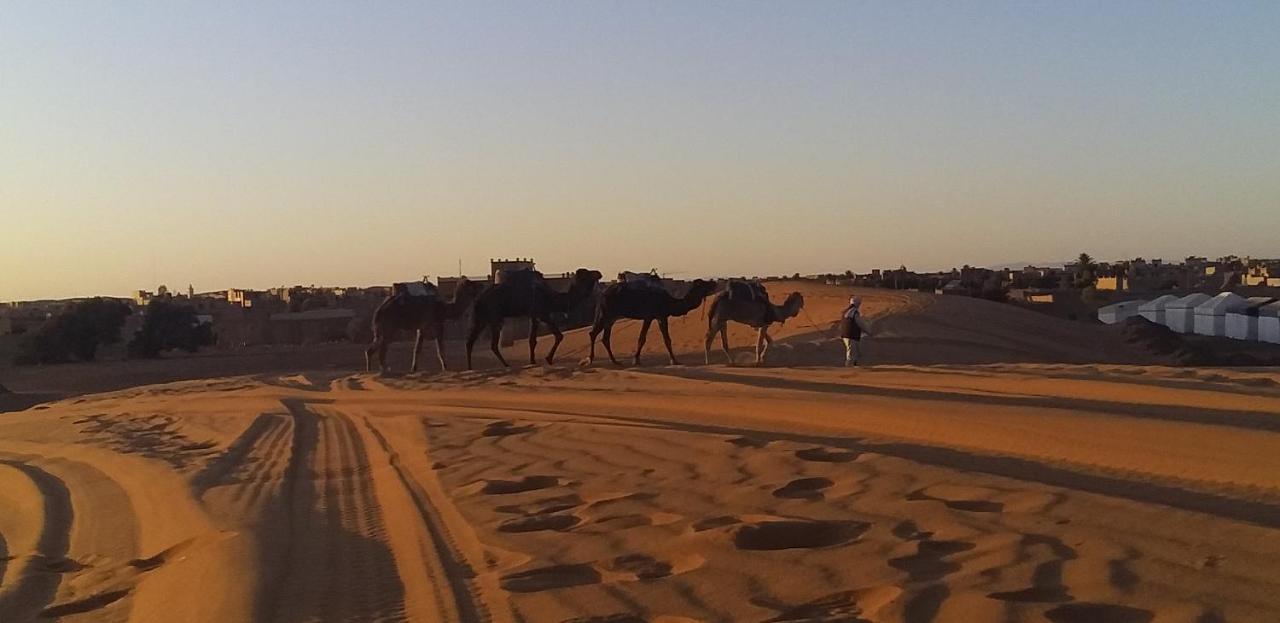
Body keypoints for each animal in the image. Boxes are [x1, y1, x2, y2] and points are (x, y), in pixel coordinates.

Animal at [465, 269, 604, 370]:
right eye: (586, 274)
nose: (599, 273)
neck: (550, 297)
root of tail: (477, 299)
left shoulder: (534, 315)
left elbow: (532, 340)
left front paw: (533, 361)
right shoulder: (542, 313)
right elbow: (559, 335)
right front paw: (548, 359)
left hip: (482, 318)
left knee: (471, 341)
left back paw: (471, 368)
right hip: (494, 317)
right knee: (490, 344)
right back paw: (506, 365)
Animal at [588, 277, 721, 365]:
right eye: (703, 284)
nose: (714, 282)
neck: (669, 302)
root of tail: (602, 294)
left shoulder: (661, 316)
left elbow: (667, 339)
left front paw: (674, 360)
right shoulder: (650, 316)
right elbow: (642, 338)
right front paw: (636, 360)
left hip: (612, 316)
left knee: (605, 337)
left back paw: (614, 360)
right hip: (606, 313)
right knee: (593, 333)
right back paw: (590, 359)